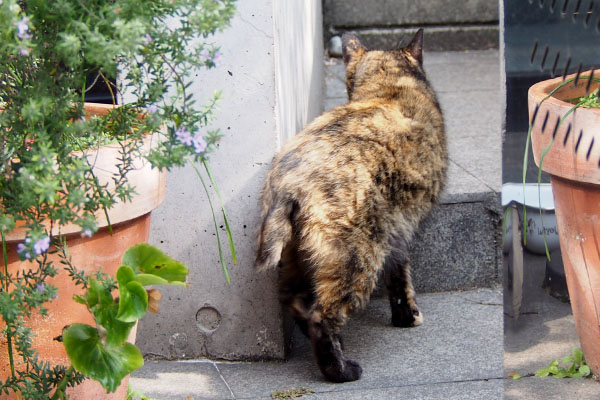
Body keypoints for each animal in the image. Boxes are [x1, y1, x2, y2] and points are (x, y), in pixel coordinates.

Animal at [255, 29, 448, 382]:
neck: (389, 87)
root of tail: (288, 183)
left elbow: (399, 273)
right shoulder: (399, 229)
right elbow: (401, 275)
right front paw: (407, 315)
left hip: (296, 257)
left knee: (295, 300)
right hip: (357, 256)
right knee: (322, 313)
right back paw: (341, 370)